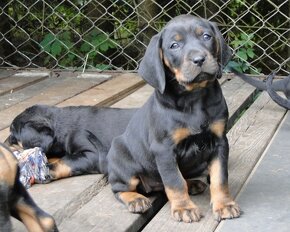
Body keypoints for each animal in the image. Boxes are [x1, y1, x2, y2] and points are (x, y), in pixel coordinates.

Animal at [106, 14, 240, 223]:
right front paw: (184, 208)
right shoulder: (164, 150)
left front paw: (224, 204)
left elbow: (220, 177)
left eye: (207, 36)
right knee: (119, 187)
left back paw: (192, 184)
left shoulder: (219, 142)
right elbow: (174, 182)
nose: (199, 59)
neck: (193, 97)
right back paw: (136, 199)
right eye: (174, 45)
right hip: (124, 164)